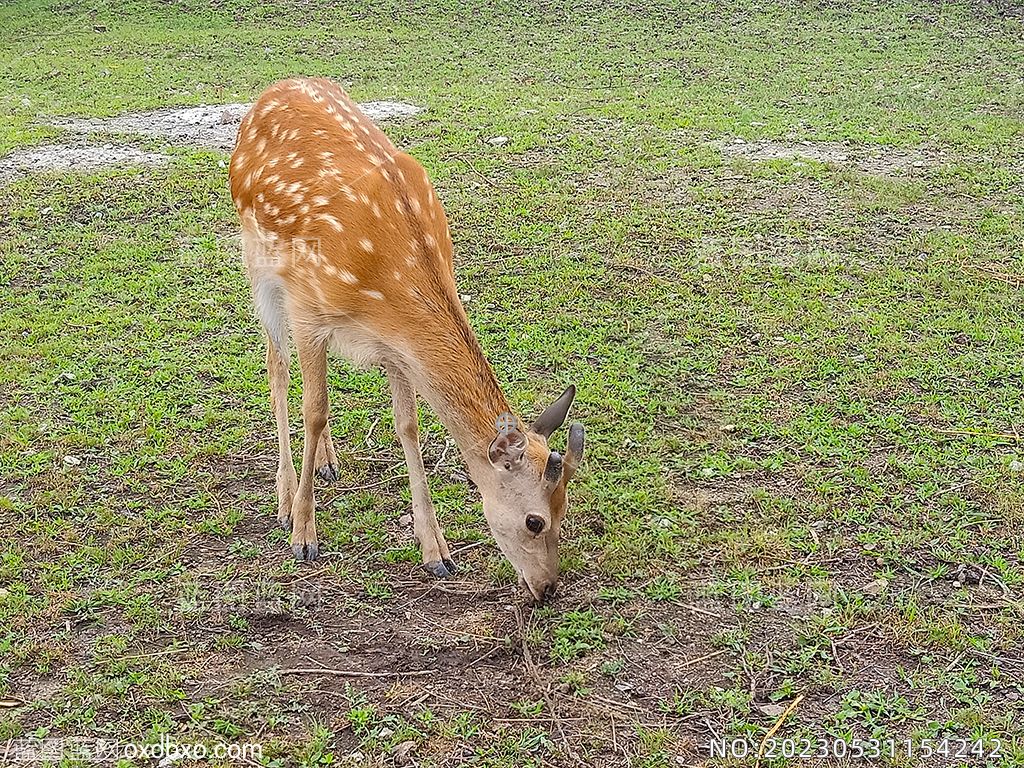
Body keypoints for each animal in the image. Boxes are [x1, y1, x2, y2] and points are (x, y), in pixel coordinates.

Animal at [229, 78, 589, 602]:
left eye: (565, 512)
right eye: (535, 520)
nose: (547, 589)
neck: (385, 280)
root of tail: (276, 88)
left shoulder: (393, 346)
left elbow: (408, 426)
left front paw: (436, 549)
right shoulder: (308, 310)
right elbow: (314, 411)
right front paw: (303, 534)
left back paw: (328, 463)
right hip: (259, 261)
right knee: (278, 369)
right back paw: (285, 494)